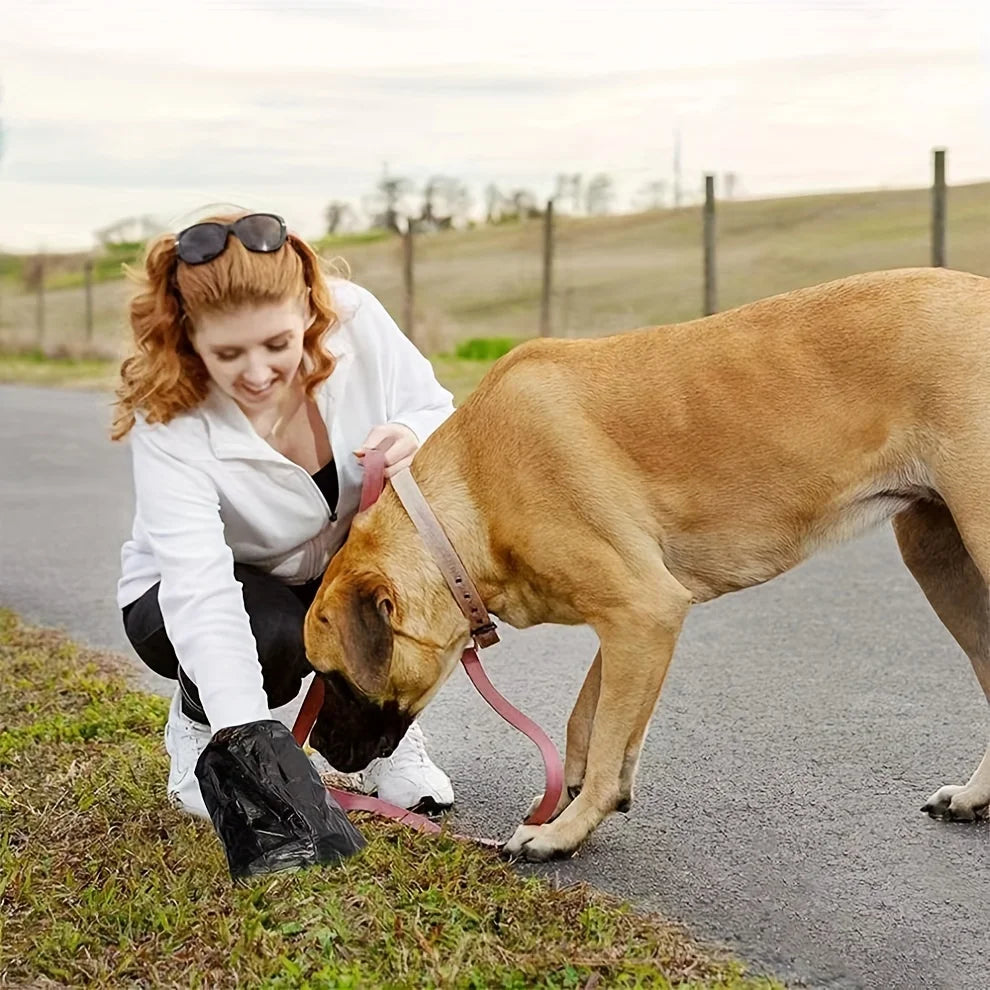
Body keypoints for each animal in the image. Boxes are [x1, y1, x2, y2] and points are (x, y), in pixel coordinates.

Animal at [302, 270, 990, 860]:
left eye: (333, 677)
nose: (317, 749)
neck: (464, 507)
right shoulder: (634, 621)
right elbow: (591, 717)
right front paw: (573, 798)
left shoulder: (644, 609)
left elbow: (607, 734)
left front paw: (564, 832)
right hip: (939, 559)